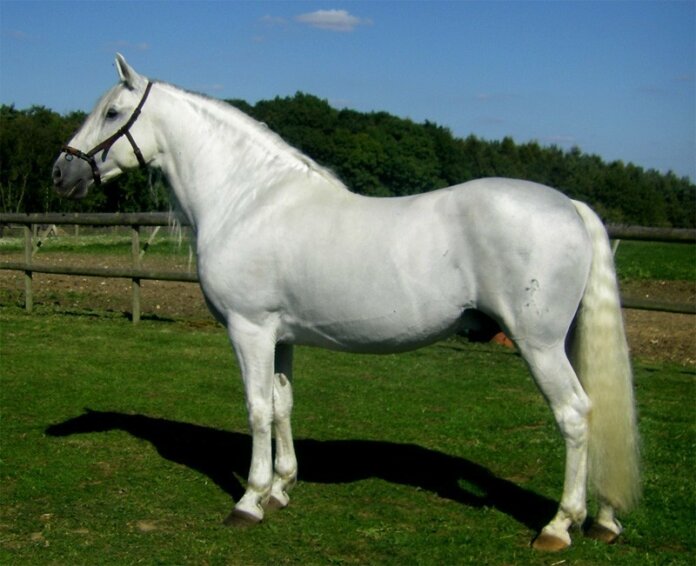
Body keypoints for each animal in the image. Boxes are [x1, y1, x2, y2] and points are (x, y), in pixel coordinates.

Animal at [52, 55, 639, 551]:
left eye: (112, 112)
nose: (62, 172)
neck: (248, 200)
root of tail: (568, 204)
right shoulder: (280, 335)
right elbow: (283, 403)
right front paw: (281, 488)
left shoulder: (249, 329)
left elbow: (257, 408)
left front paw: (250, 499)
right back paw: (604, 520)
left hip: (538, 344)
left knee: (574, 413)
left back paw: (559, 526)